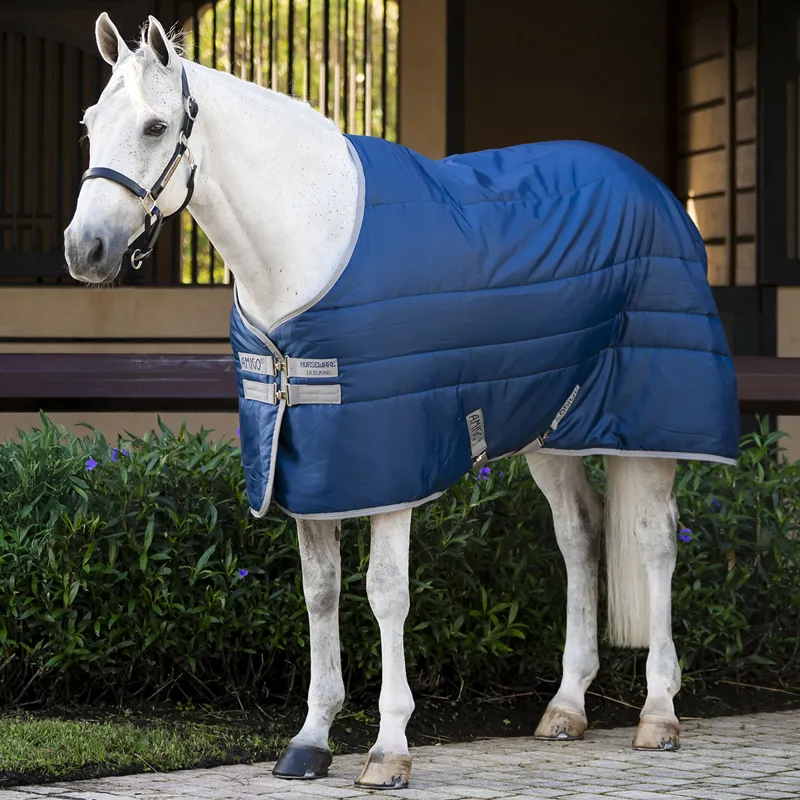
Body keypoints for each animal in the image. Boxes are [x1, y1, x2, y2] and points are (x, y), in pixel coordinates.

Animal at [64, 13, 739, 789]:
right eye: (90, 124)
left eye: (154, 126)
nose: (84, 249)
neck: (308, 241)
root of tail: (654, 190)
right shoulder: (307, 462)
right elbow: (320, 592)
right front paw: (311, 739)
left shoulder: (389, 465)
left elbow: (386, 592)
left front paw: (388, 749)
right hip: (553, 428)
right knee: (579, 535)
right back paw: (566, 706)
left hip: (652, 428)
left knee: (655, 541)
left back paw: (659, 712)